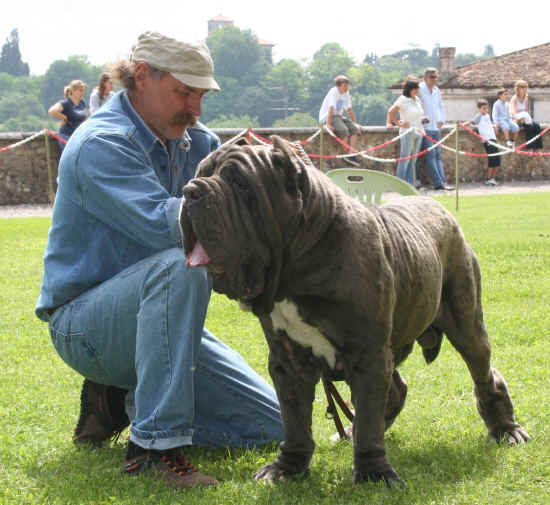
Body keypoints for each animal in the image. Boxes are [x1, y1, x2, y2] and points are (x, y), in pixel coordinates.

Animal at [180, 136, 532, 486]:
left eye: (240, 183)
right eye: (200, 172)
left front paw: (373, 473)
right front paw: (287, 467)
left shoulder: (368, 354)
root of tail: (438, 208)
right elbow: (295, 421)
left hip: (466, 322)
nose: (190, 190)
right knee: (393, 393)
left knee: (483, 373)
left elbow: (367, 416)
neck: (299, 259)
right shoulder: (289, 361)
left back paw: (506, 430)